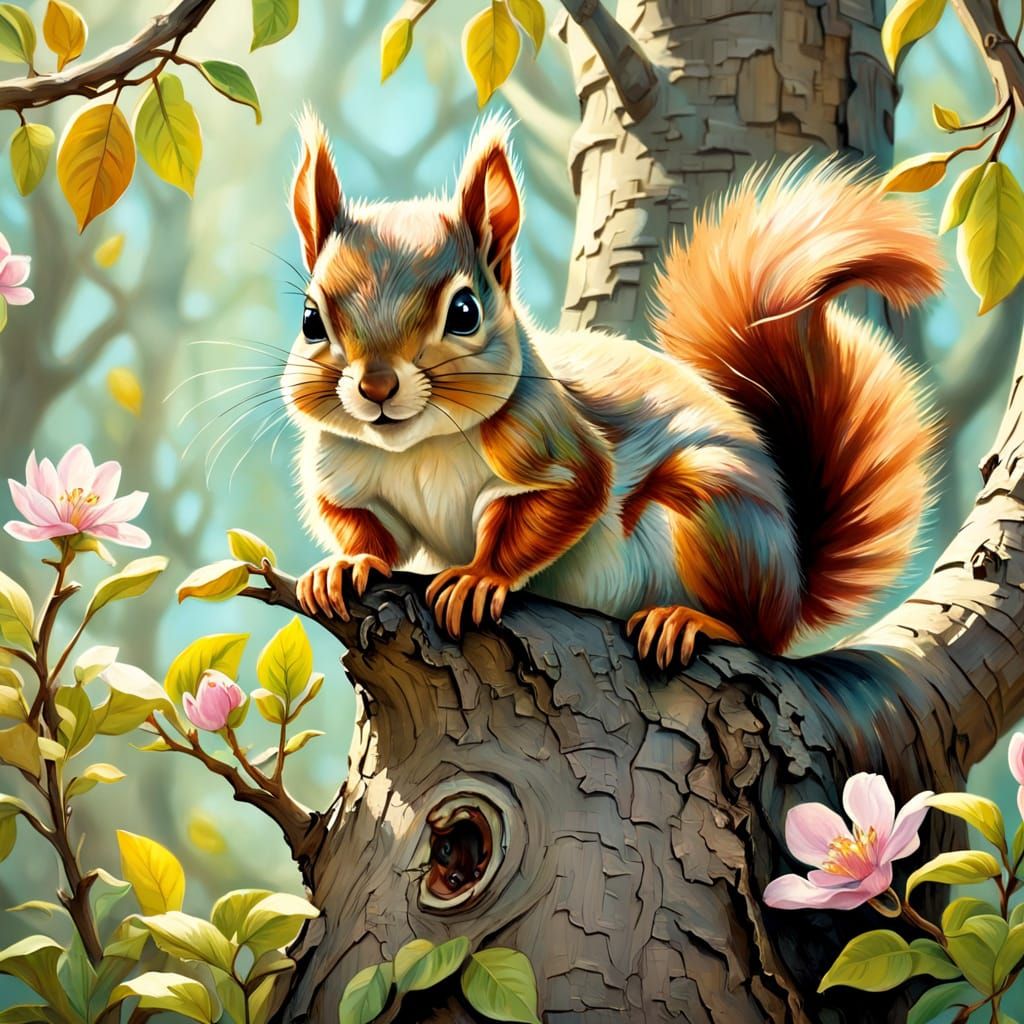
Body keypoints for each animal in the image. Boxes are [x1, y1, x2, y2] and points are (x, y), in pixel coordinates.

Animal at [284, 109, 941, 668]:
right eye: (311, 319)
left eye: (465, 312)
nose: (377, 385)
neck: (420, 445)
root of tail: (794, 588)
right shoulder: (347, 474)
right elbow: (371, 530)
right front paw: (346, 565)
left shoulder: (550, 442)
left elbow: (569, 496)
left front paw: (479, 577)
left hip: (719, 512)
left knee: (756, 634)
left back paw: (689, 621)